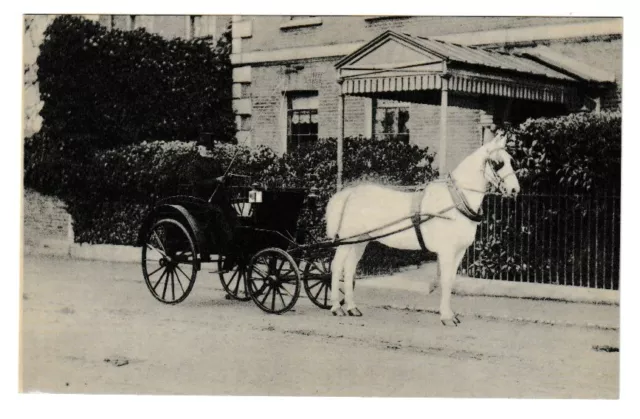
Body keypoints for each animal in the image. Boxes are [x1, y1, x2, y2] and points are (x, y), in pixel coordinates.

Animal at [324, 136, 520, 326]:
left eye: (511, 160)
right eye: (497, 162)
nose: (515, 190)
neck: (455, 201)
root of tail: (348, 193)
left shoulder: (460, 252)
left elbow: (451, 281)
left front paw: (450, 315)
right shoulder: (447, 252)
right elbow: (445, 281)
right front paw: (446, 317)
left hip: (360, 241)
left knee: (350, 268)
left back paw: (352, 308)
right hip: (347, 241)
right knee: (337, 266)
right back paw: (336, 307)